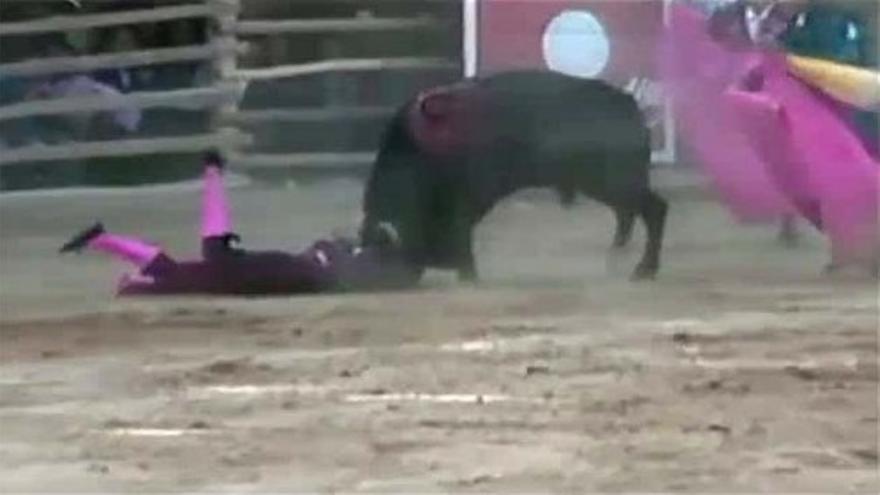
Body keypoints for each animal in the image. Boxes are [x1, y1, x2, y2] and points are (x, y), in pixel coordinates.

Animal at [360, 69, 672, 282]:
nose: (438, 262)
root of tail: (629, 104)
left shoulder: (472, 193)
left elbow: (461, 227)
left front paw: (468, 272)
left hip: (615, 180)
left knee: (652, 209)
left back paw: (644, 269)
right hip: (607, 182)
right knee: (628, 211)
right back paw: (619, 253)